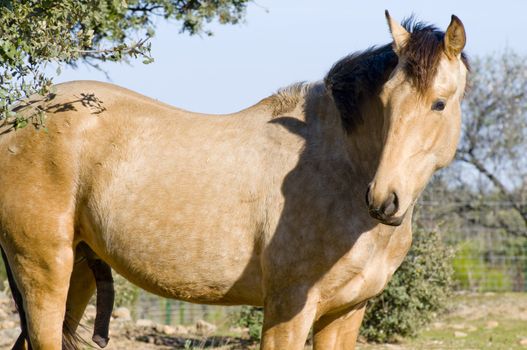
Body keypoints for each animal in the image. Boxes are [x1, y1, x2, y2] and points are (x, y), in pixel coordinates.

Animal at [2, 10, 468, 350]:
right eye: (386, 101)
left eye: (439, 103)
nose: (384, 200)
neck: (340, 168)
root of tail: (16, 116)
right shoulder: (288, 308)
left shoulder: (346, 313)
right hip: (43, 268)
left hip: (80, 267)